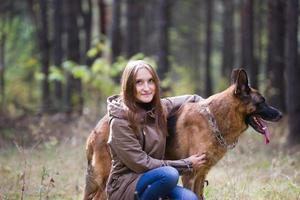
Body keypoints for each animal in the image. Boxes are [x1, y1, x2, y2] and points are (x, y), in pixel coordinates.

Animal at [83, 68, 282, 199]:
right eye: (262, 102)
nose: (280, 114)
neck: (214, 119)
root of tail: (93, 132)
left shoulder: (201, 175)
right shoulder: (190, 175)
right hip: (105, 181)